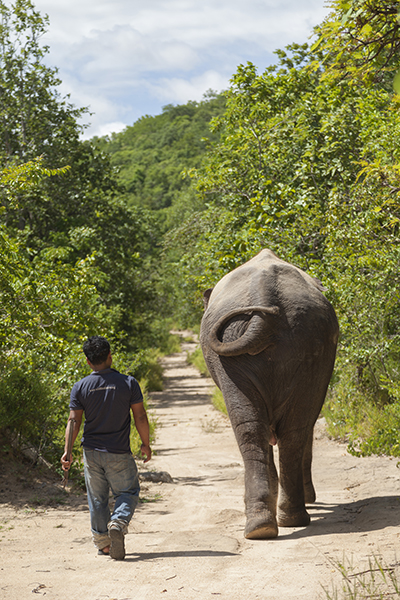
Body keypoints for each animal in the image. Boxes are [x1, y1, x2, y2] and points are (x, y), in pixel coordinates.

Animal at [200, 248, 338, 540]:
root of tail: (265, 303)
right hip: (305, 343)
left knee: (260, 429)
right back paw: (277, 523)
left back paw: (267, 526)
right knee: (288, 429)